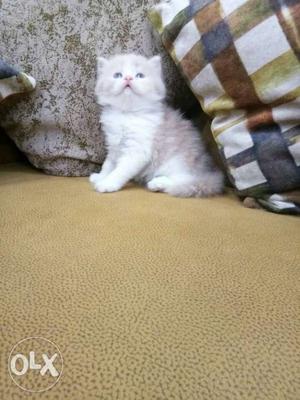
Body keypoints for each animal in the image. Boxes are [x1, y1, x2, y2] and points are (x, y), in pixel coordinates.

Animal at [90, 54, 224, 198]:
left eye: (140, 75)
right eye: (117, 75)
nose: (128, 78)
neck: (127, 114)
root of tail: (207, 170)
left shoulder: (137, 150)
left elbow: (120, 170)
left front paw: (108, 183)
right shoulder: (114, 145)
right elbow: (108, 164)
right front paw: (101, 176)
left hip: (177, 161)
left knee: (187, 179)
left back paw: (158, 183)